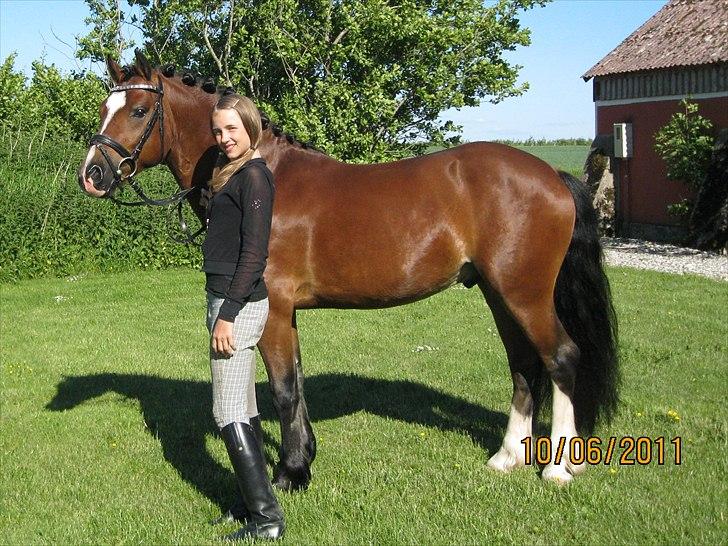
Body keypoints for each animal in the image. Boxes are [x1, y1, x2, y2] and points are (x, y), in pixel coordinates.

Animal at [78, 52, 616, 488]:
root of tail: (553, 177)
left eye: (139, 110)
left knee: (561, 357)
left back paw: (558, 468)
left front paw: (292, 473)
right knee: (524, 364)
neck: (262, 173)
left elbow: (284, 390)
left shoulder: (273, 310)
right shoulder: (285, 313)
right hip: (498, 292)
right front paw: (303, 458)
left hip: (525, 293)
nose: (92, 174)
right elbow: (296, 381)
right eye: (105, 108)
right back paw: (507, 457)